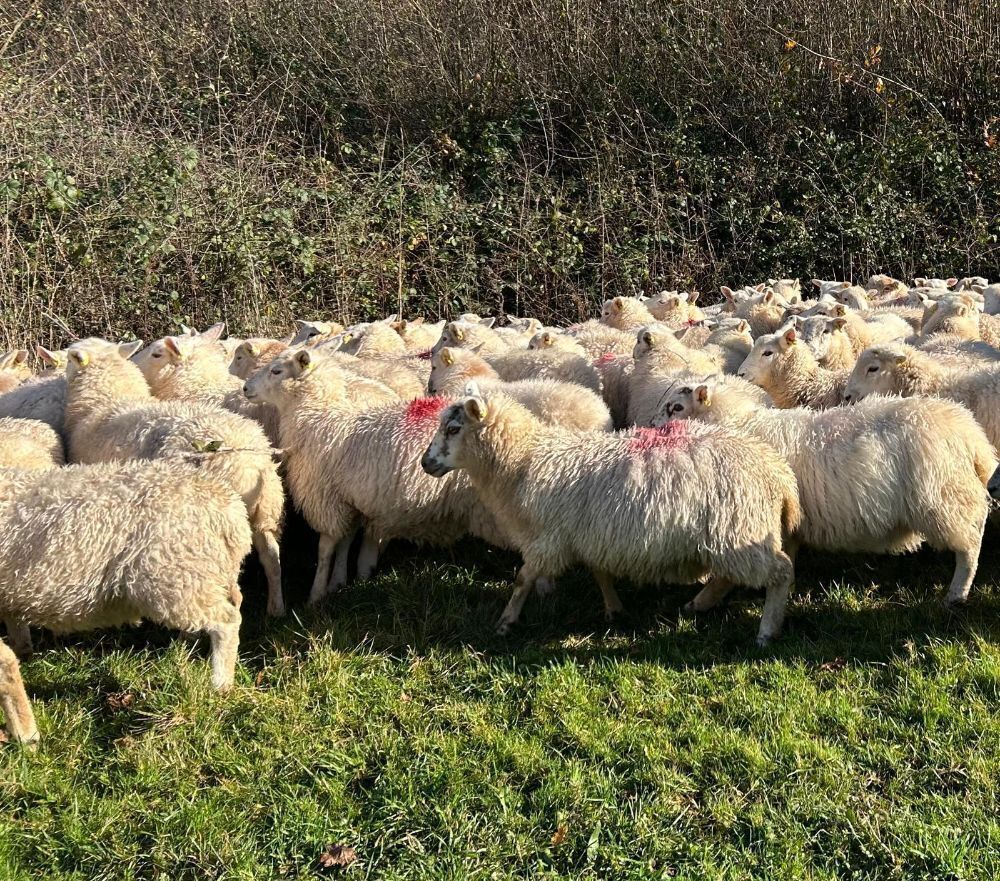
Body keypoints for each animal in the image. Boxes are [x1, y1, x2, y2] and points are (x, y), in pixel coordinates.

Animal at [0, 456, 252, 742]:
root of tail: (230, 510)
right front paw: (23, 650)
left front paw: (25, 736)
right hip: (200, 576)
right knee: (228, 605)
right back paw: (186, 646)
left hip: (173, 575)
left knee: (227, 621)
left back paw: (220, 683)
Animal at [63, 338, 286, 617]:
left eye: (71, 357)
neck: (105, 404)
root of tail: (249, 466)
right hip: (265, 511)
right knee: (272, 557)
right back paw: (276, 608)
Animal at [244, 349, 512, 603]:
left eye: (276, 371)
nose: (245, 387)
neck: (319, 417)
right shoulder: (351, 500)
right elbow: (346, 541)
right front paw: (339, 582)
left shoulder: (327, 499)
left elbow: (325, 550)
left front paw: (316, 595)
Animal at [420, 391, 800, 645]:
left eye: (453, 429)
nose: (426, 463)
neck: (525, 461)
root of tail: (777, 471)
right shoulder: (589, 534)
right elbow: (599, 572)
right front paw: (614, 609)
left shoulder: (549, 538)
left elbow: (522, 579)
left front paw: (505, 622)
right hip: (732, 532)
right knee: (727, 577)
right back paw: (698, 604)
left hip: (740, 528)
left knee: (781, 571)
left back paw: (767, 630)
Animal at [653, 380, 994, 609]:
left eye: (676, 408)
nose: (651, 426)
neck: (739, 425)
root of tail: (970, 433)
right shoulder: (782, 525)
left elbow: (726, 575)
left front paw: (699, 603)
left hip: (942, 500)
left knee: (971, 542)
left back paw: (957, 593)